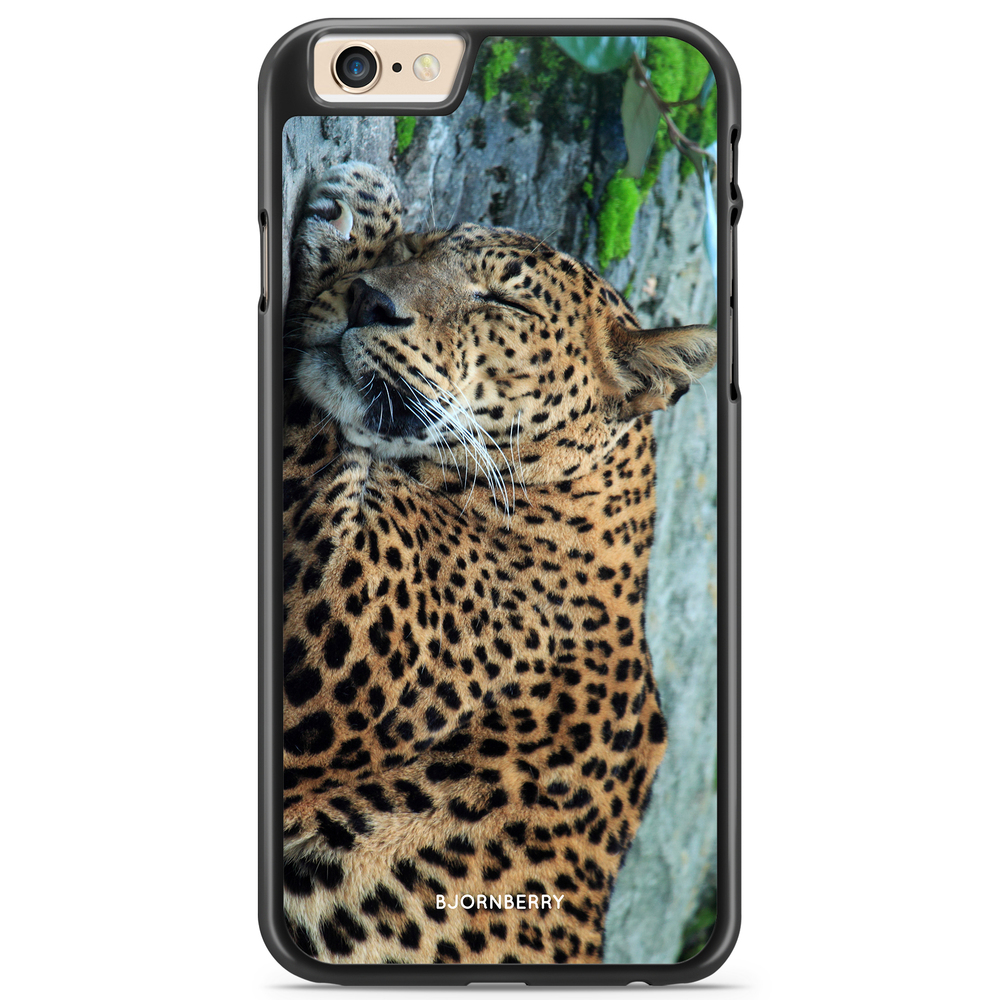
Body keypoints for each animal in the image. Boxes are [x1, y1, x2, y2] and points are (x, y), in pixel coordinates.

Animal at [281, 162, 717, 965]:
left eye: (504, 301)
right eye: (425, 247)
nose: (369, 300)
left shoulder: (337, 621)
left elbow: (319, 428)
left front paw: (358, 209)